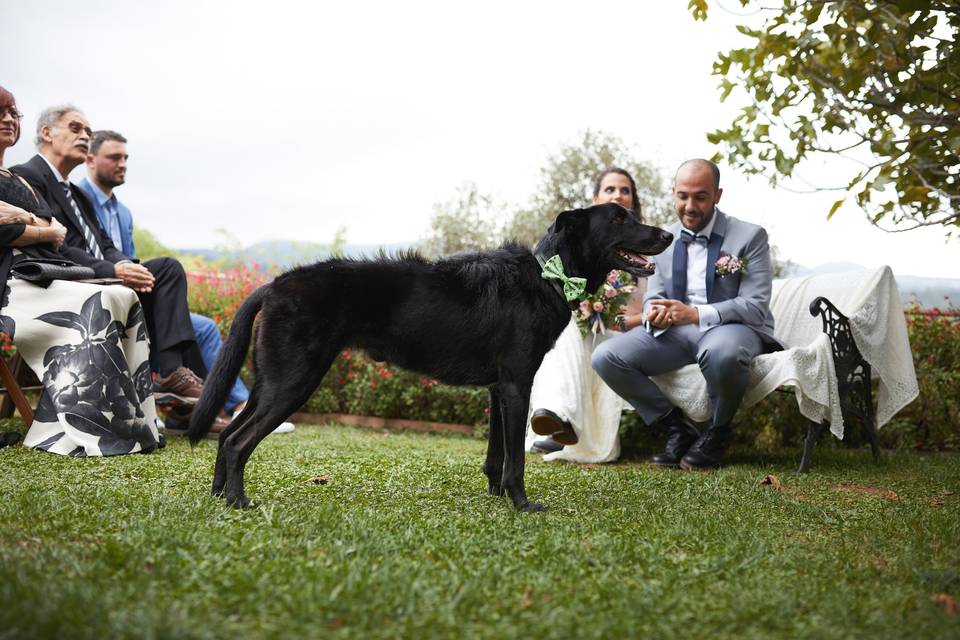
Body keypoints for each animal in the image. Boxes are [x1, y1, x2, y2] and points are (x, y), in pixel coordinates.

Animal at [188, 202, 668, 512]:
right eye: (620, 218)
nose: (667, 234)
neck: (547, 274)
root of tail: (274, 285)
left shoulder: (498, 390)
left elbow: (495, 455)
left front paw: (496, 497)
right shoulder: (517, 385)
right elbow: (514, 460)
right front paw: (522, 504)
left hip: (269, 382)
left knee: (227, 435)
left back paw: (218, 497)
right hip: (293, 382)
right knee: (238, 441)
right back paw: (239, 502)